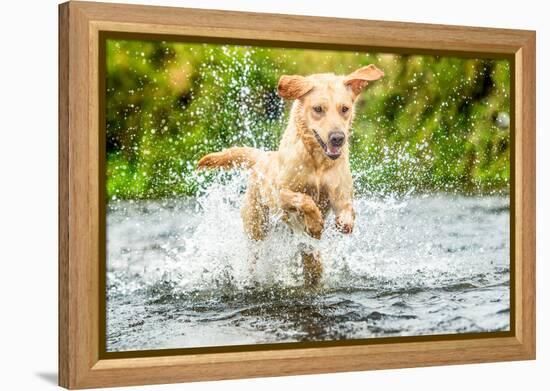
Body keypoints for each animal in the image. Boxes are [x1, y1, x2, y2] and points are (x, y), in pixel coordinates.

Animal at [197, 65, 384, 288]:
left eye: (345, 109)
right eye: (318, 109)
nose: (338, 138)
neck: (318, 163)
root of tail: (263, 157)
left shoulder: (341, 196)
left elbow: (348, 210)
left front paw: (343, 224)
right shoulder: (281, 195)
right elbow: (304, 200)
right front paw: (315, 223)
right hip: (256, 229)